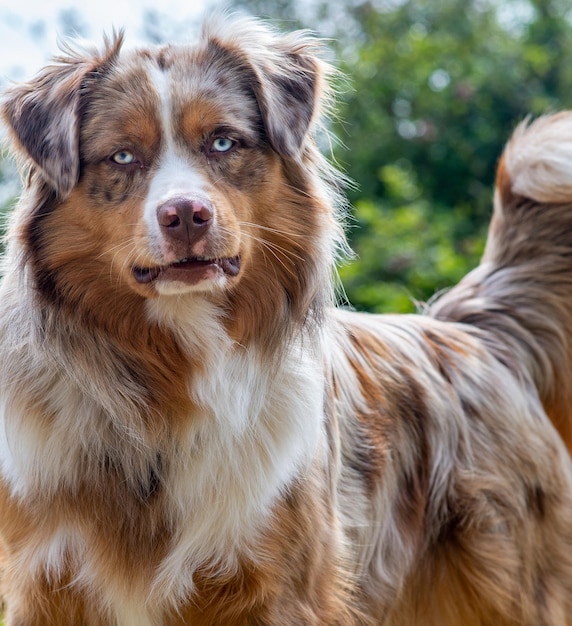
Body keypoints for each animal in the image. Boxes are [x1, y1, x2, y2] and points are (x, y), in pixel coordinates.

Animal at [1, 11, 572, 624]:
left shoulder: (282, 585)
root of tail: (477, 333)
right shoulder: (45, 582)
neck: (169, 387)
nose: (186, 215)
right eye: (123, 156)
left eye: (223, 141)